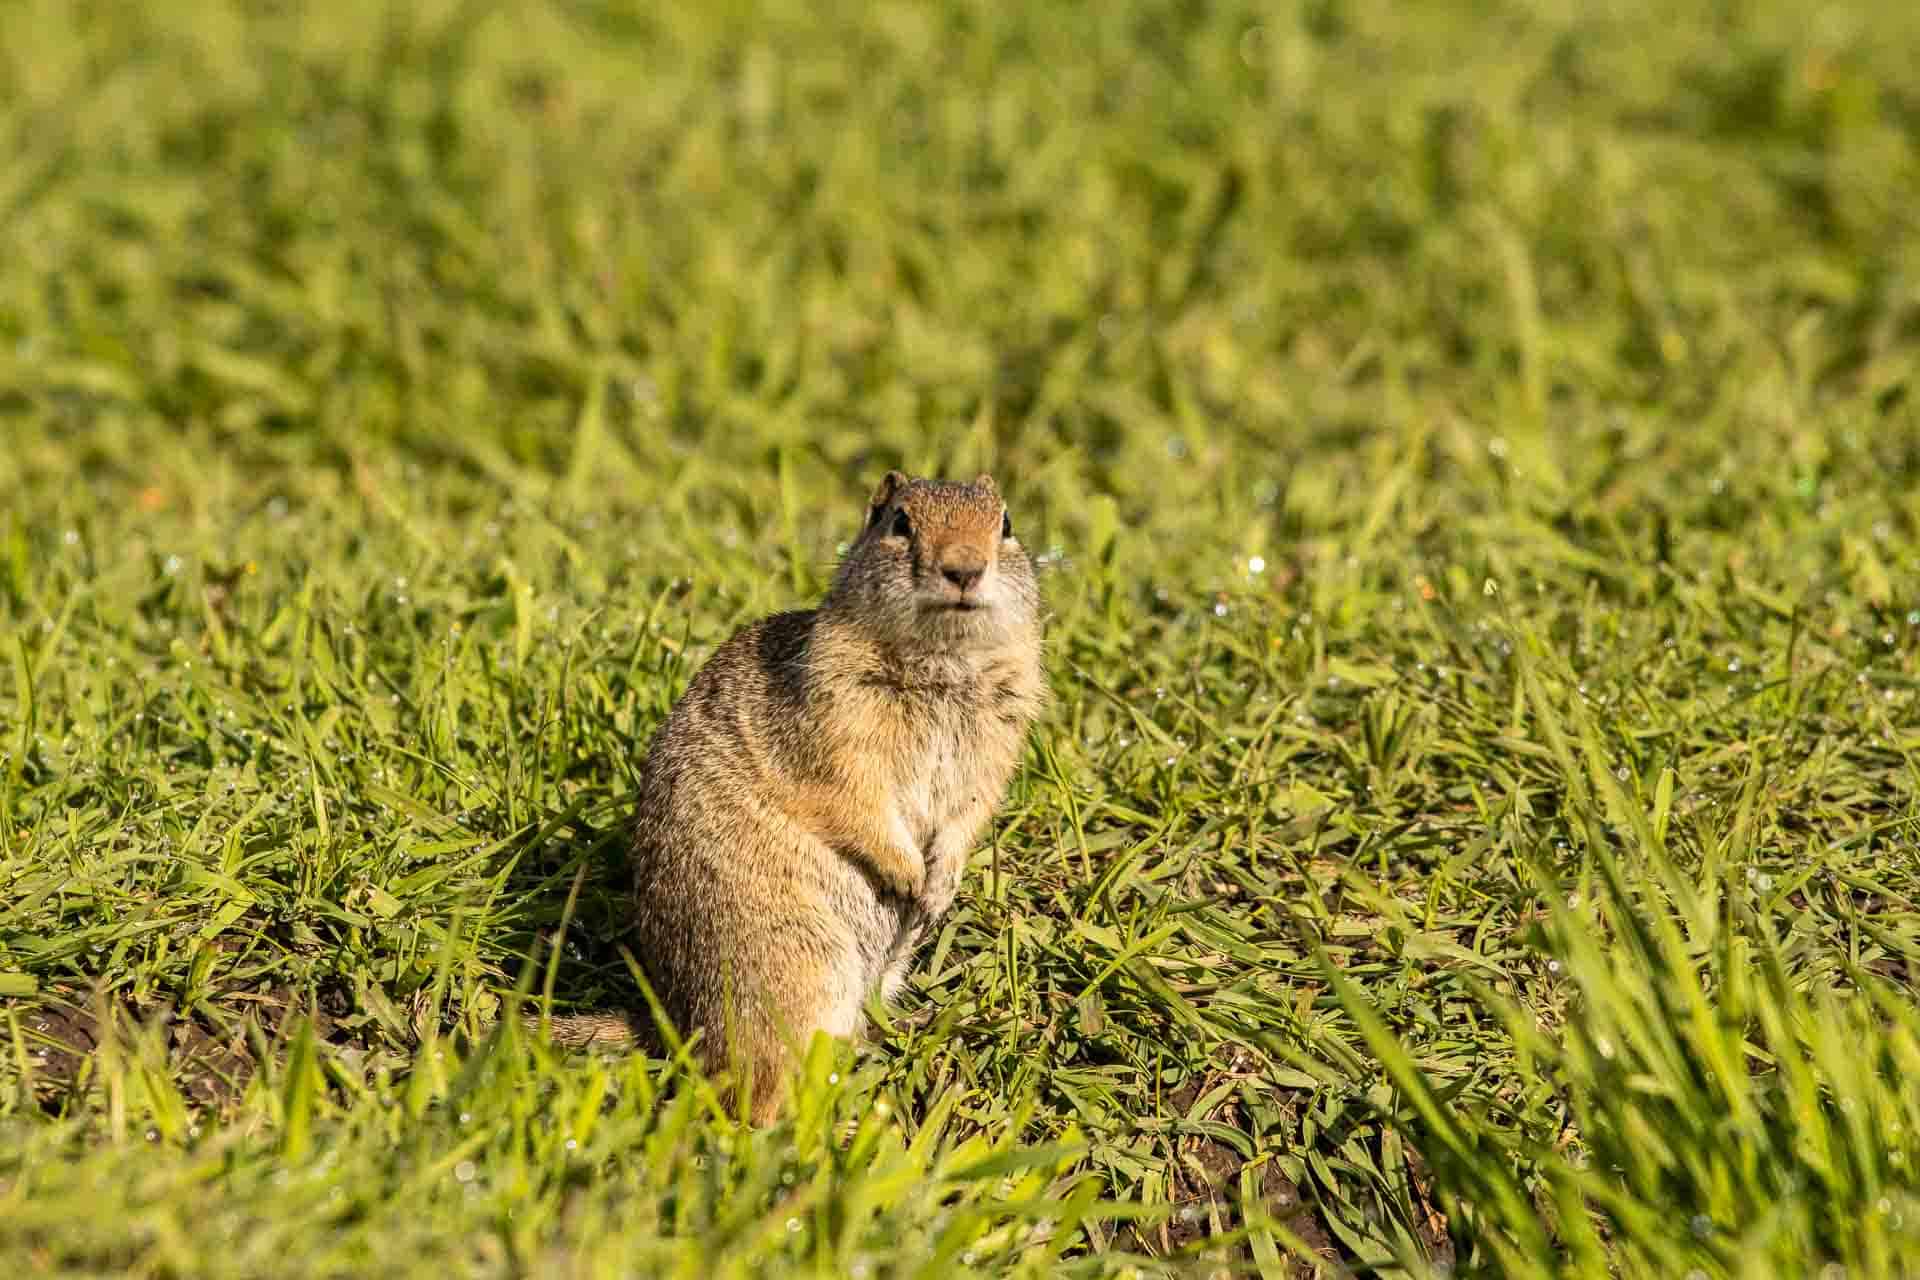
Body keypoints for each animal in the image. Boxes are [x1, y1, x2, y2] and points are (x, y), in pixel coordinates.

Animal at [533, 470, 1044, 1120]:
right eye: (899, 522)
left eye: (1006, 524)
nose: (964, 569)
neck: (943, 666)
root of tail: (677, 1022)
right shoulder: (836, 736)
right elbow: (856, 801)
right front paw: (907, 875)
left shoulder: (996, 744)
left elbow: (968, 815)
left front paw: (938, 887)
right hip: (796, 972)